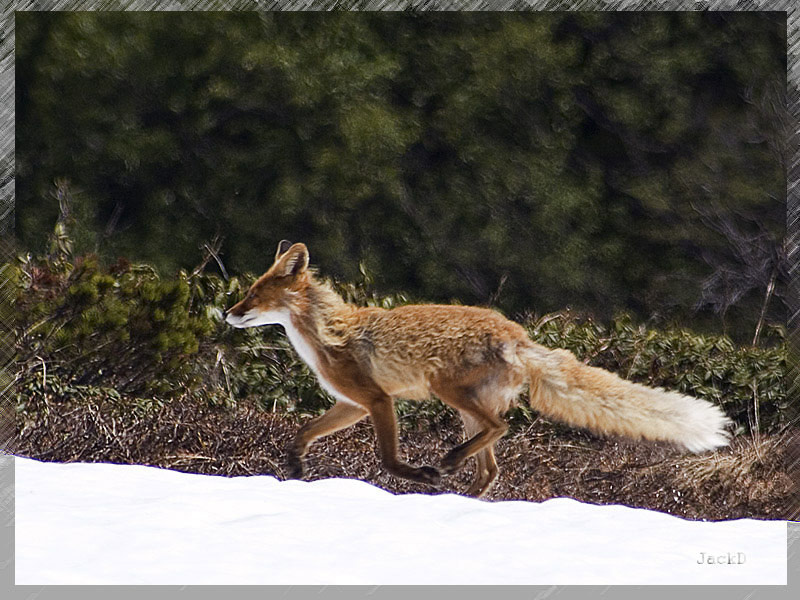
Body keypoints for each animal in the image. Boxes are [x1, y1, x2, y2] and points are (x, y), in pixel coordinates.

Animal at [224, 240, 732, 497]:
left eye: (253, 293)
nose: (228, 313)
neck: (328, 333)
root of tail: (519, 335)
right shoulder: (353, 404)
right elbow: (302, 433)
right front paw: (294, 468)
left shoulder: (378, 400)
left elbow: (388, 459)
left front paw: (420, 475)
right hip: (463, 407)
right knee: (490, 466)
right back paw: (465, 499)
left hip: (448, 392)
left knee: (500, 430)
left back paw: (448, 467)